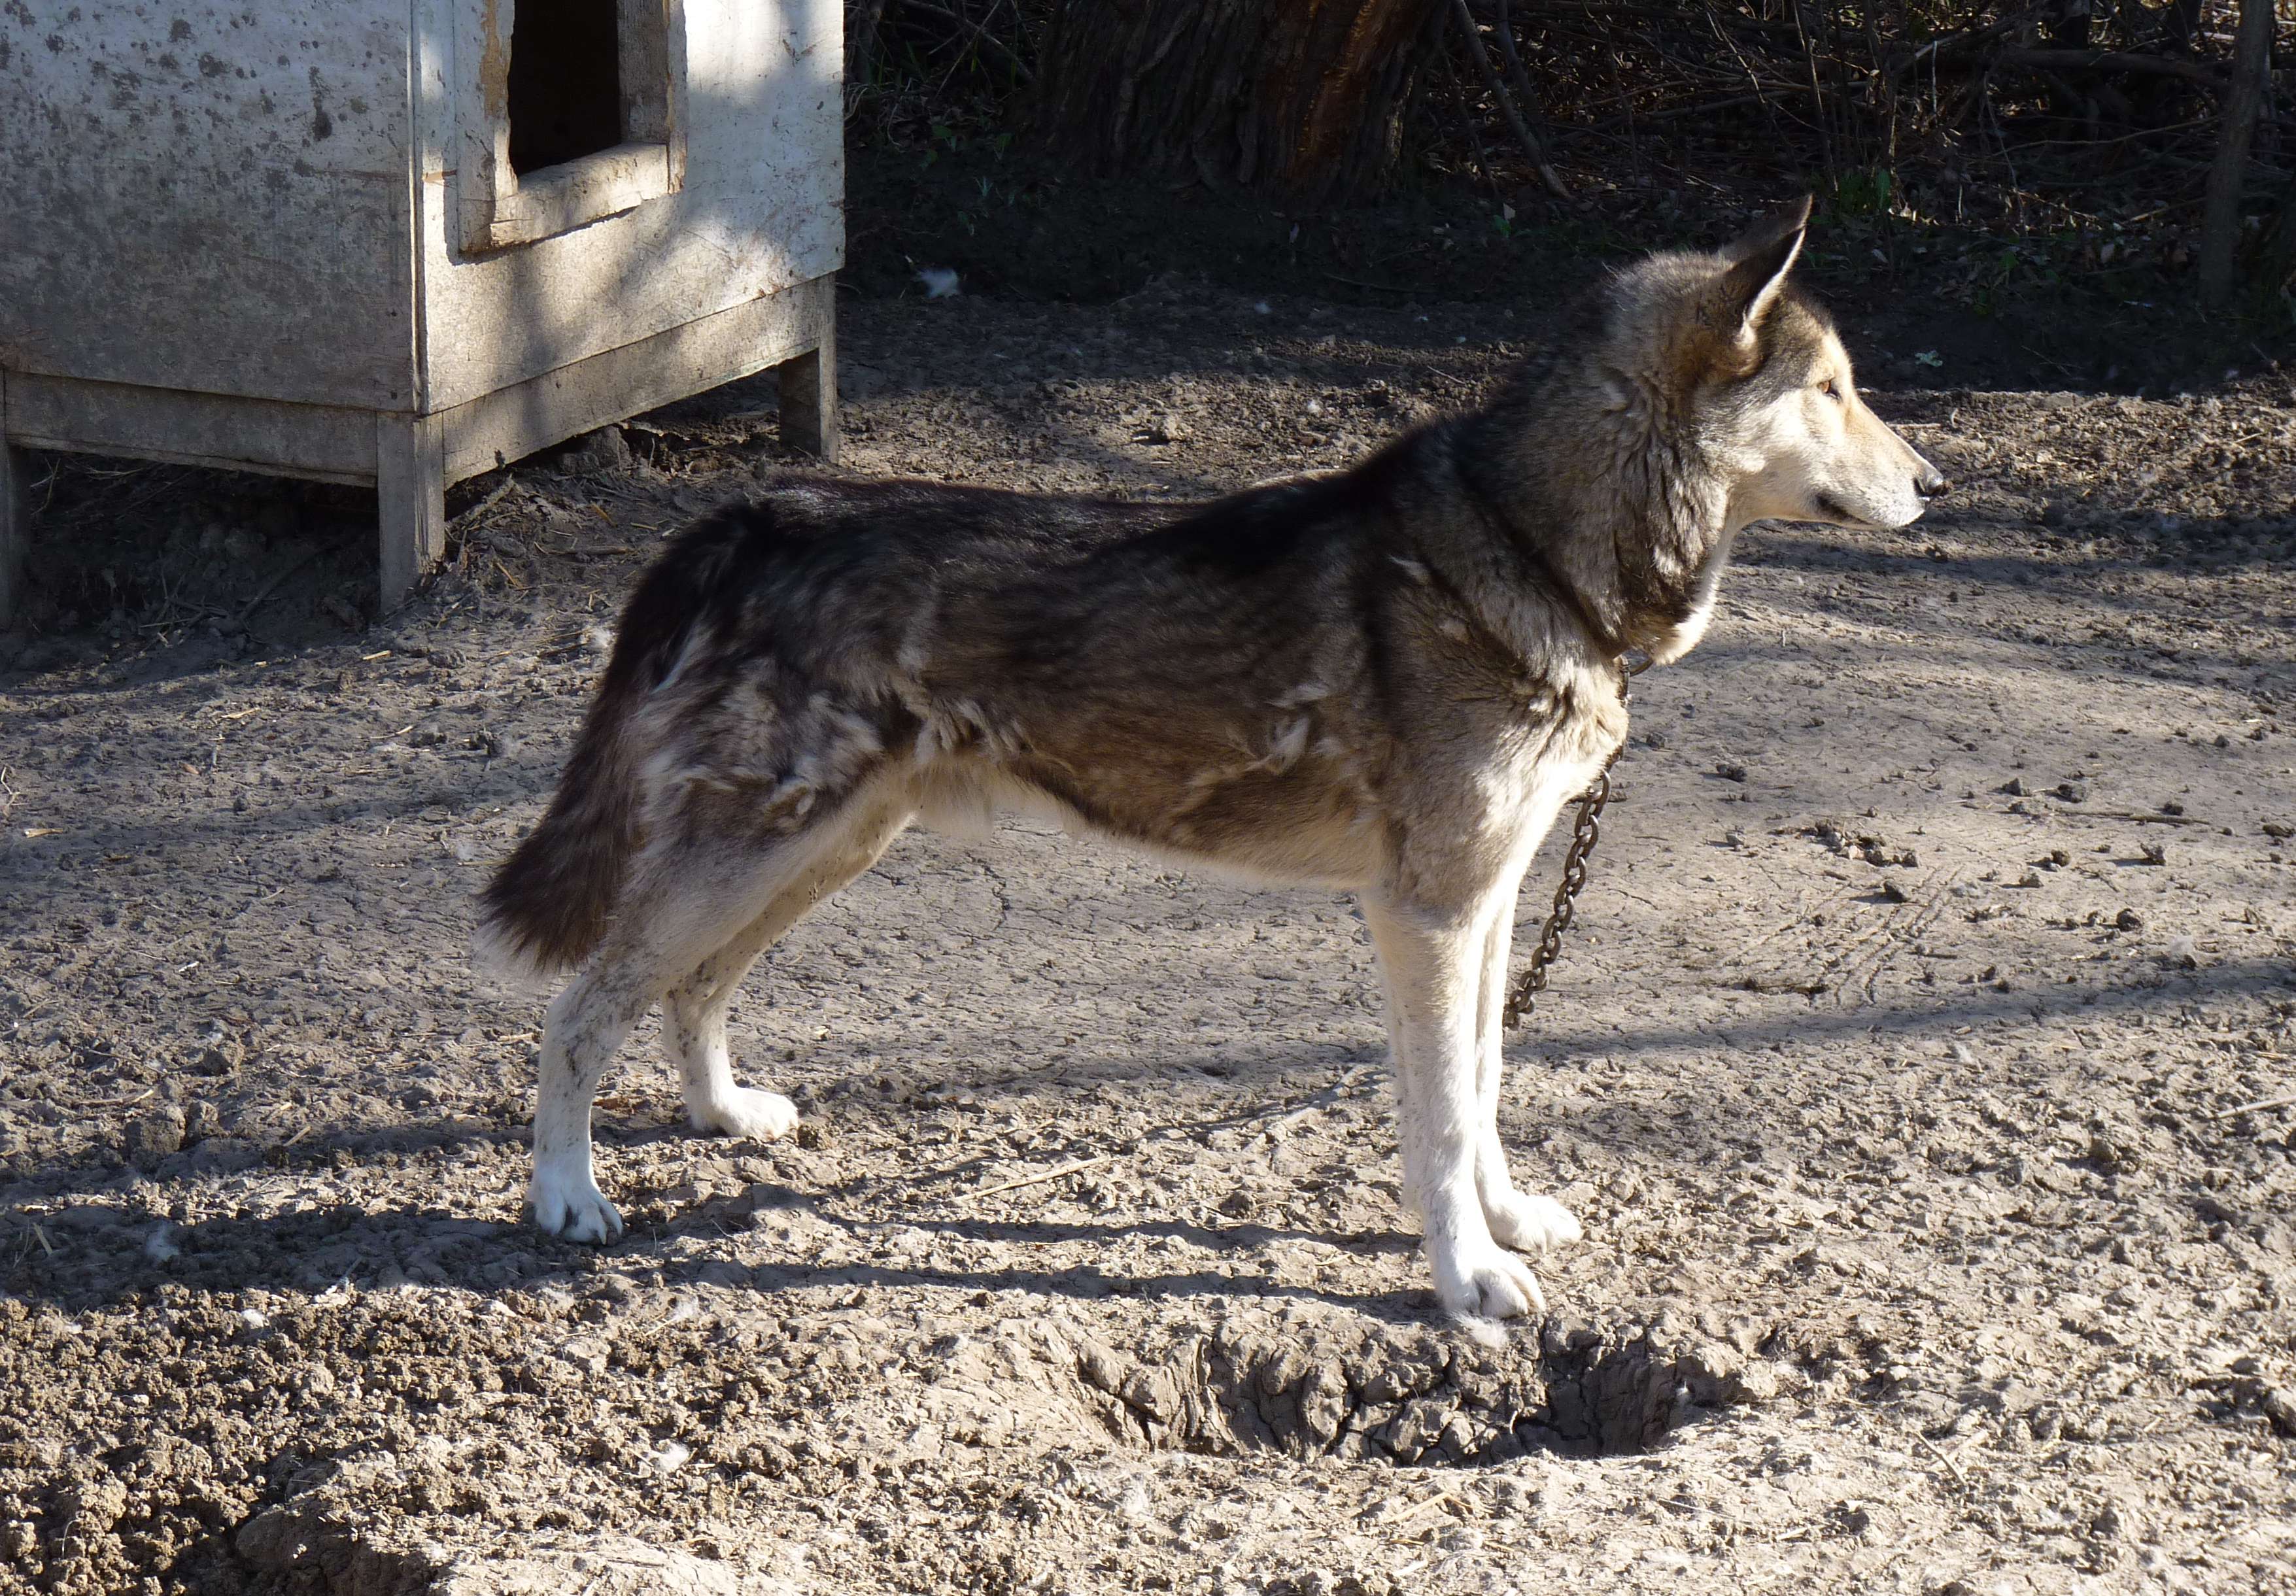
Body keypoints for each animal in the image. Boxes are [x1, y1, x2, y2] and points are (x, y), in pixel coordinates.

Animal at [475, 199, 1947, 1323]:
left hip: (822, 847)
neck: (1528, 554)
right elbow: (1438, 1116)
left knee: (689, 991)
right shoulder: (1428, 913)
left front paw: (1507, 1219)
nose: (1935, 484)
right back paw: (567, 1195)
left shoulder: (1490, 901)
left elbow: (1483, 1084)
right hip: (760, 850)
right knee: (582, 1008)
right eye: (1834, 390)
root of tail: (753, 510)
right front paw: (1466, 1281)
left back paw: (723, 1116)